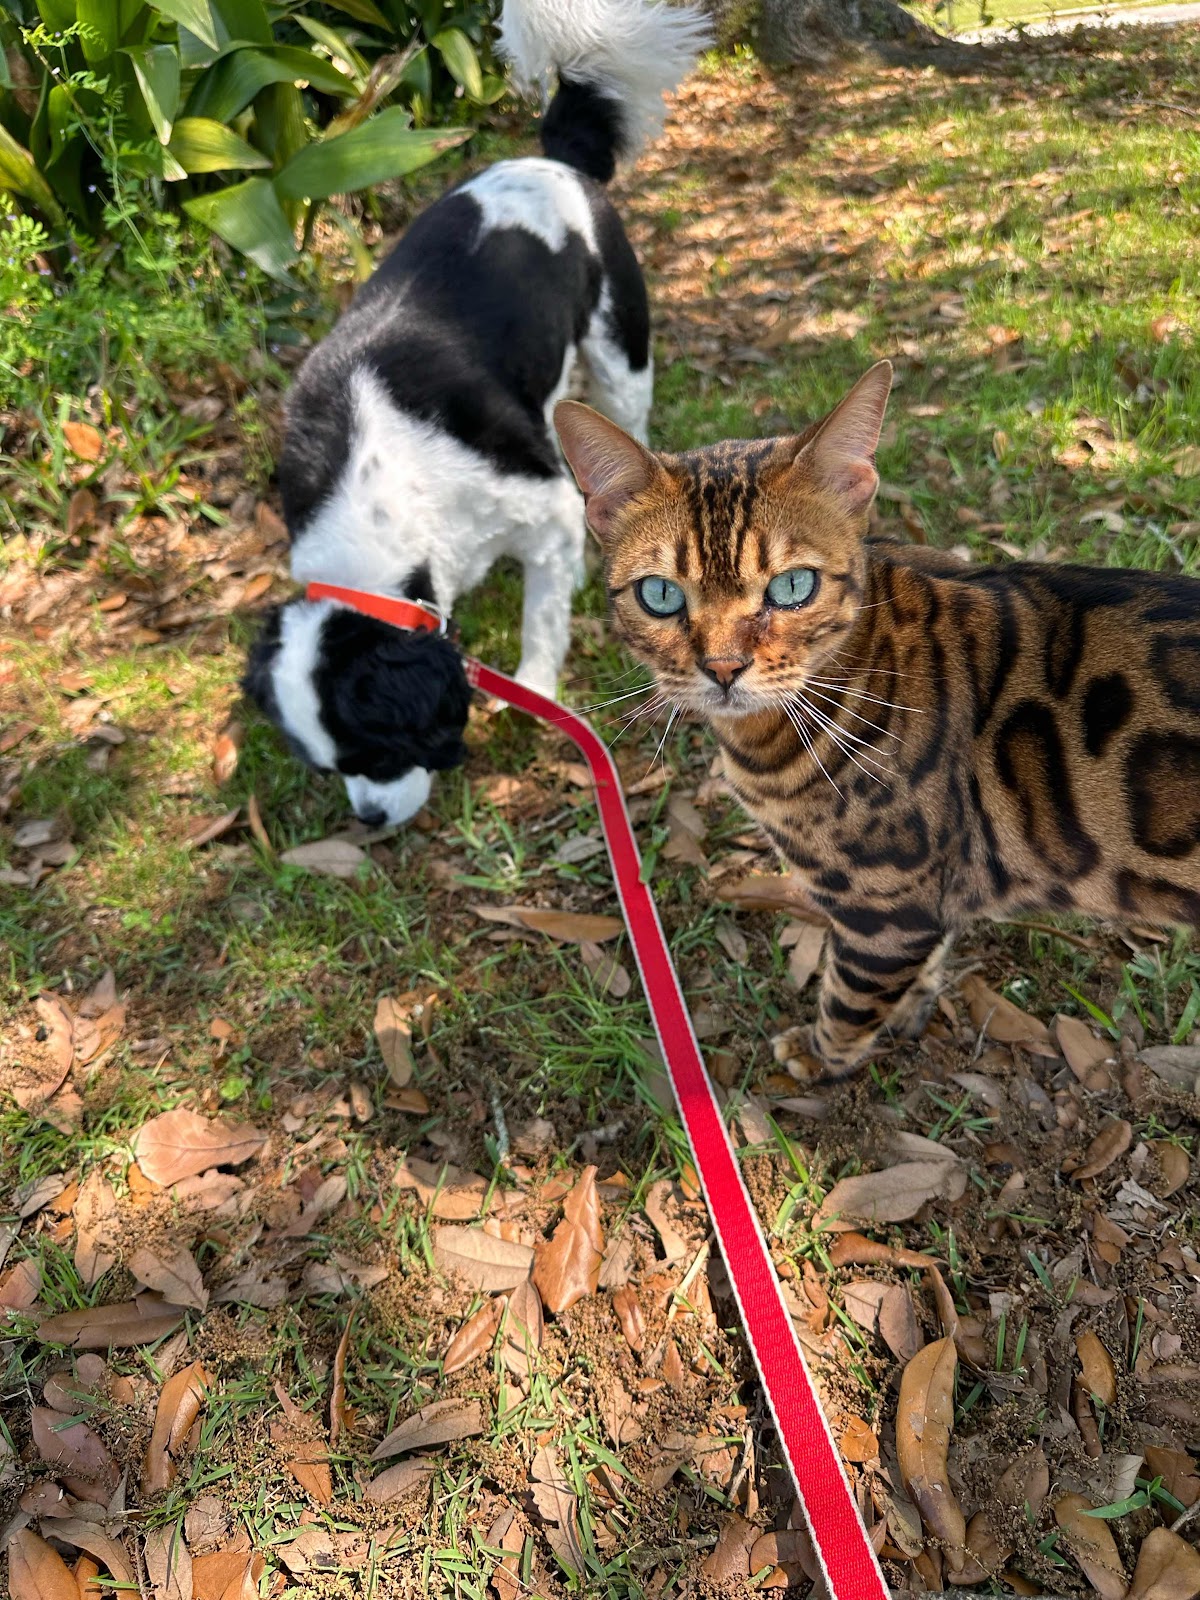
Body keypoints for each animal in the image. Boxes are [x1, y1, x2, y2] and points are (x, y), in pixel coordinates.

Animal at [244, 0, 710, 826]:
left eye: (380, 753)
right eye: (328, 769)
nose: (369, 821)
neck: (375, 495)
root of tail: (552, 161)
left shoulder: (540, 504)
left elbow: (541, 624)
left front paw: (535, 687)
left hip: (620, 356)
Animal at [554, 363, 1200, 1079]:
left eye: (792, 587)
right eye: (661, 595)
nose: (722, 668)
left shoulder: (887, 910)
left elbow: (848, 1000)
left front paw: (819, 1058)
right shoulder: (929, 895)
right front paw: (914, 1005)